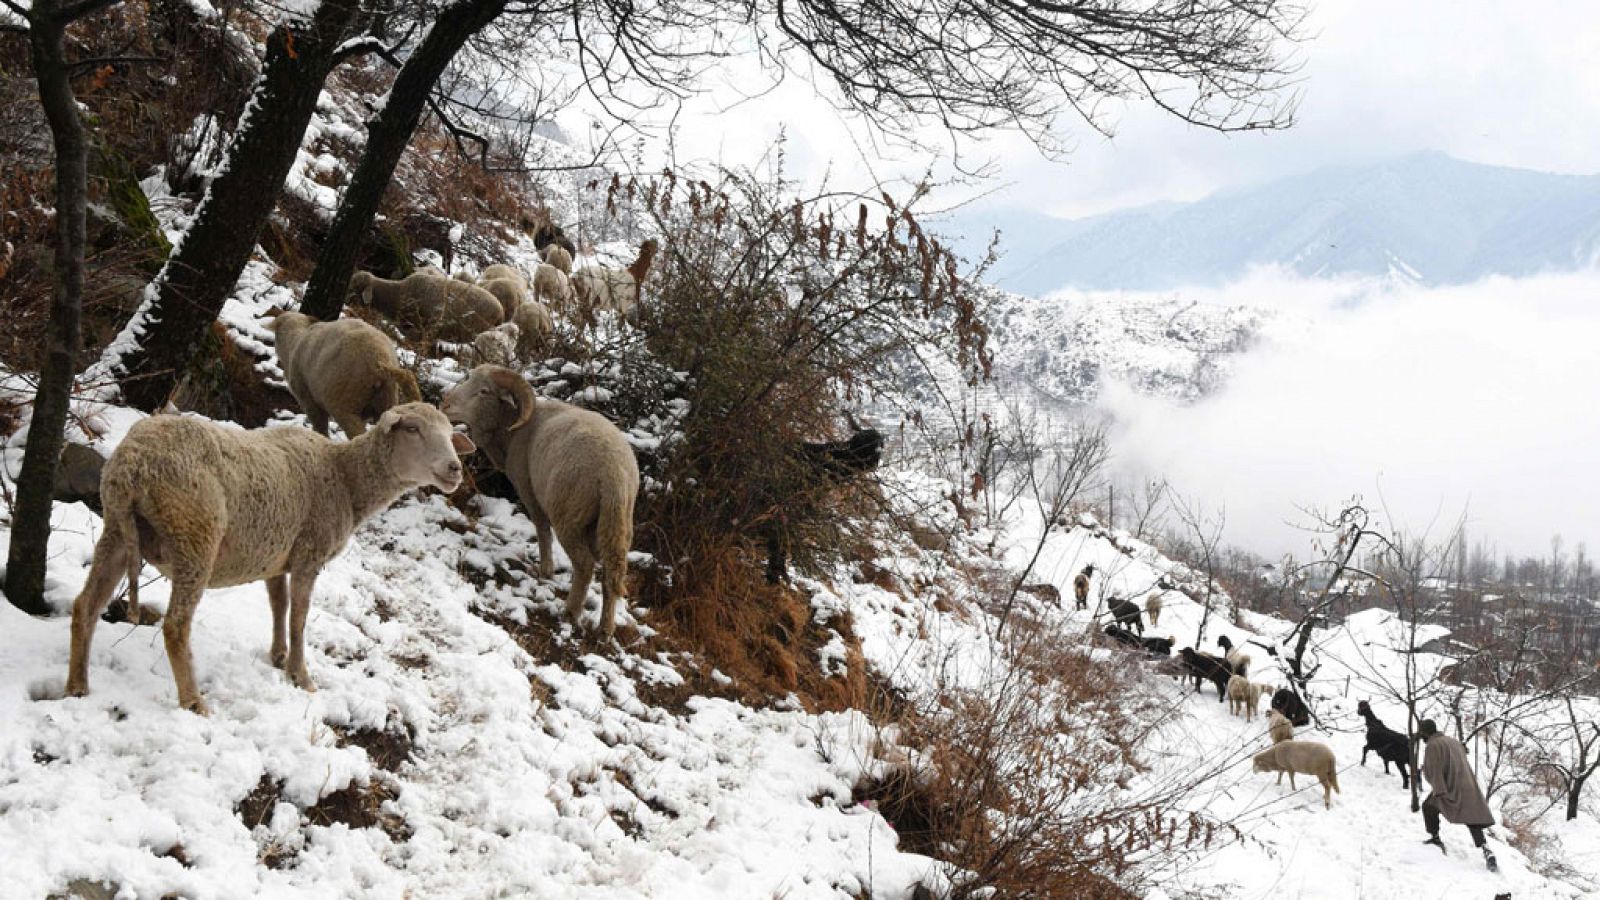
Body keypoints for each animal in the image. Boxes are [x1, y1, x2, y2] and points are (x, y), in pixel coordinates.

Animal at [65, 403, 473, 711]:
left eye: (449, 433)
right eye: (413, 429)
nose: (455, 468)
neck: (344, 477)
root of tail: (132, 464)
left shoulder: (276, 553)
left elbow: (278, 605)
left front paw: (278, 656)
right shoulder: (310, 553)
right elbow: (299, 617)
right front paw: (300, 676)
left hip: (119, 530)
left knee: (85, 606)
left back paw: (77, 686)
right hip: (195, 535)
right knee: (175, 626)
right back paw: (194, 702)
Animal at [265, 312, 422, 438]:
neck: (293, 342)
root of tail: (380, 358)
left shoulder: (309, 401)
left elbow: (320, 428)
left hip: (345, 402)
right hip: (385, 400)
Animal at [441, 361, 640, 630]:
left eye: (484, 391)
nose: (445, 404)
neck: (512, 429)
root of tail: (614, 476)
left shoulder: (529, 489)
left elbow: (542, 529)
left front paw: (546, 570)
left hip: (570, 514)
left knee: (585, 564)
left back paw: (571, 612)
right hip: (617, 523)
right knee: (613, 571)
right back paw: (605, 629)